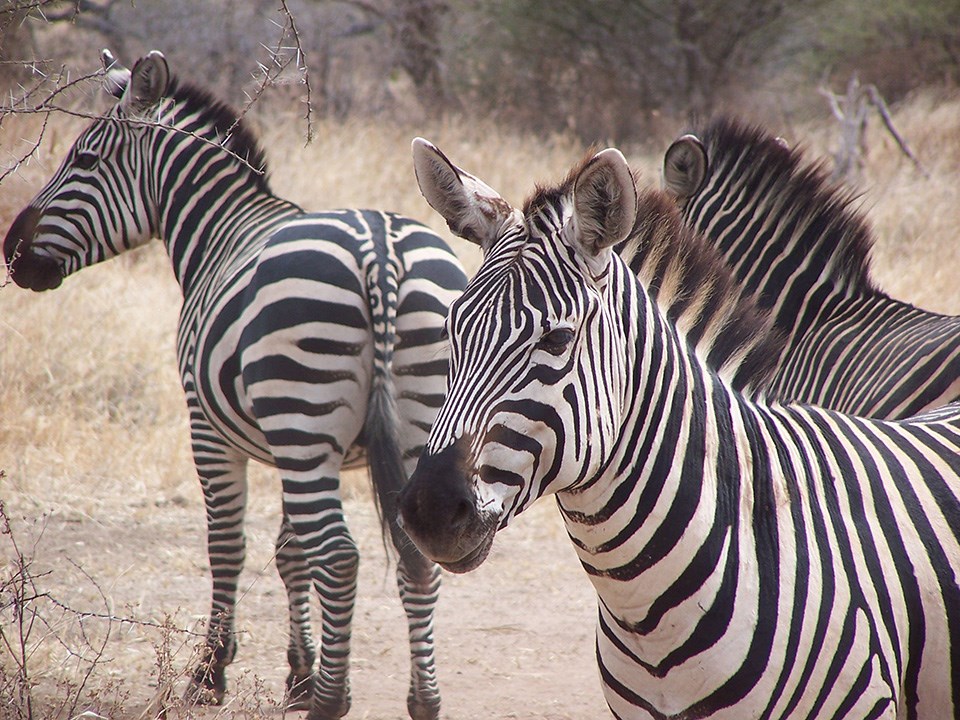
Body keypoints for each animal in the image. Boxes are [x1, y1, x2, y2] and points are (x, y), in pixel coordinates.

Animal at [2, 52, 468, 720]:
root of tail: (378, 251)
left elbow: (228, 545)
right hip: (412, 421)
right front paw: (298, 675)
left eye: (83, 161)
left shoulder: (211, 429)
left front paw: (211, 673)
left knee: (340, 556)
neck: (219, 232)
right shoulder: (298, 447)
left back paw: (333, 700)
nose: (12, 253)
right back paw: (422, 698)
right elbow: (290, 551)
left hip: (303, 415)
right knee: (411, 548)